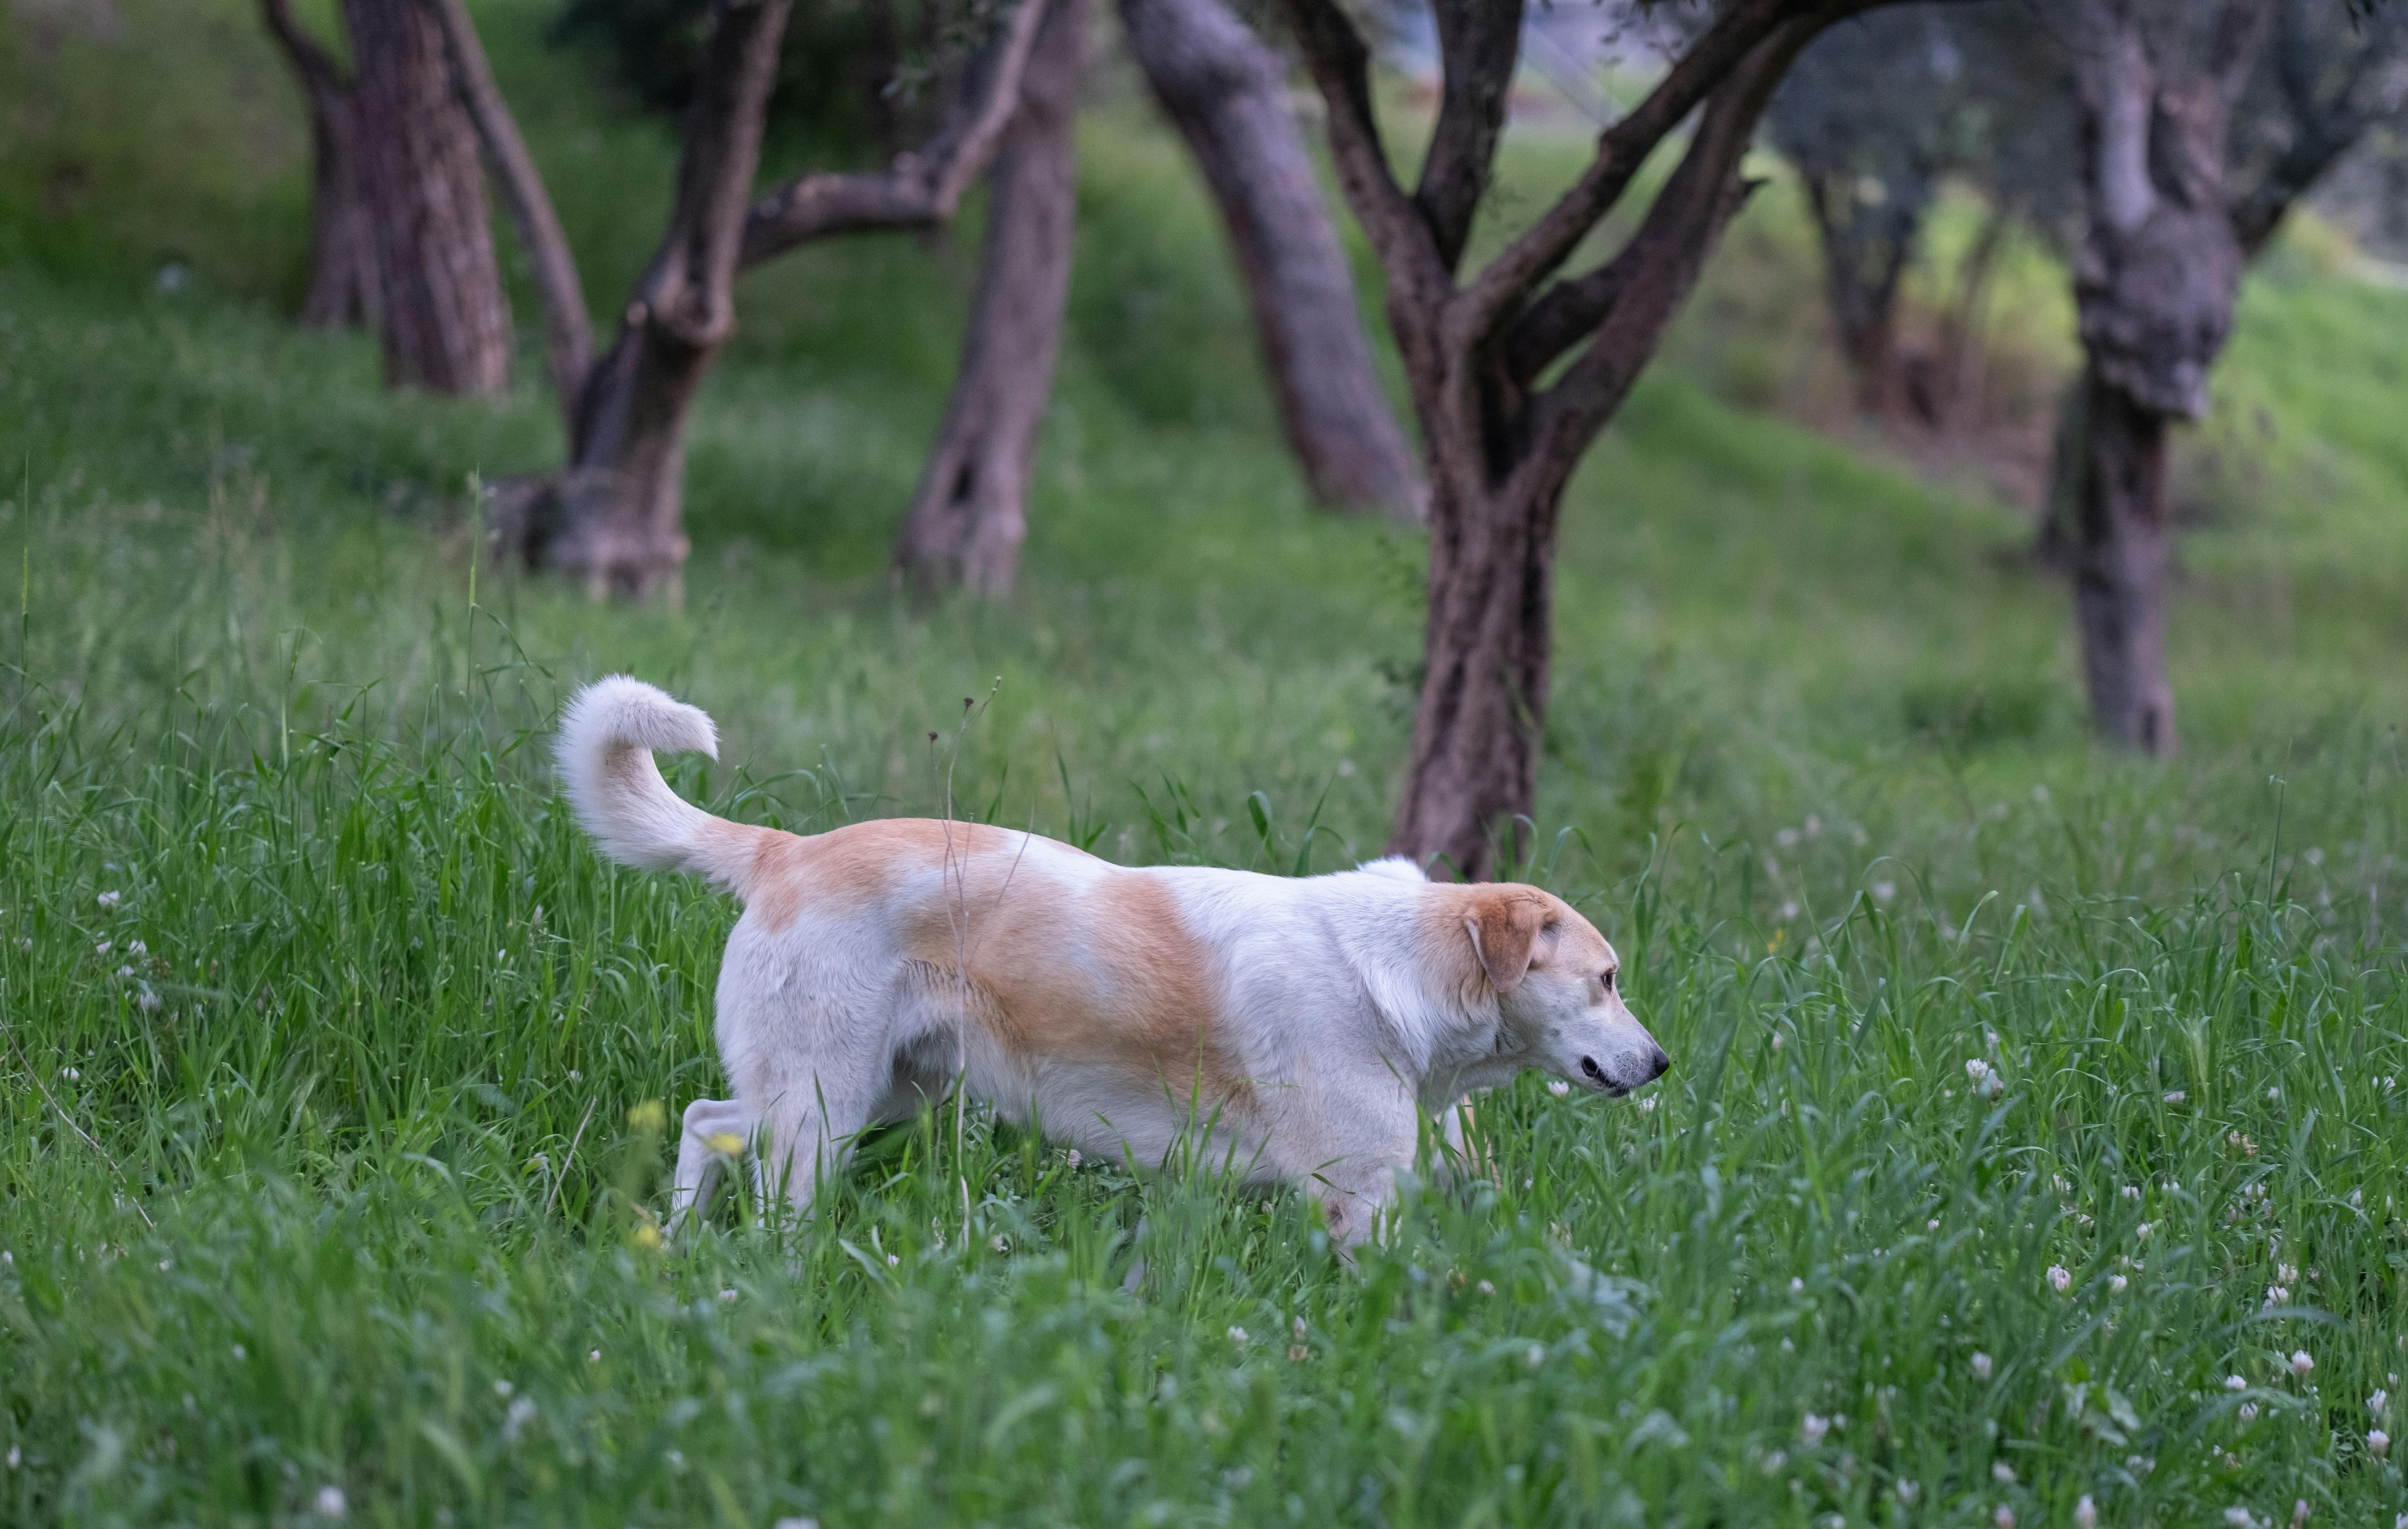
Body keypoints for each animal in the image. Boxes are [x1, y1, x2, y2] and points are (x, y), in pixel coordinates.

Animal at [554, 679, 1666, 1242]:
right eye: (1607, 979)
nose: (1661, 1064)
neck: (1399, 977)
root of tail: (787, 850)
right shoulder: (1361, 1196)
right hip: (822, 1109)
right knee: (754, 1177)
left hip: (872, 1092)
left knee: (704, 1123)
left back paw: (678, 1253)